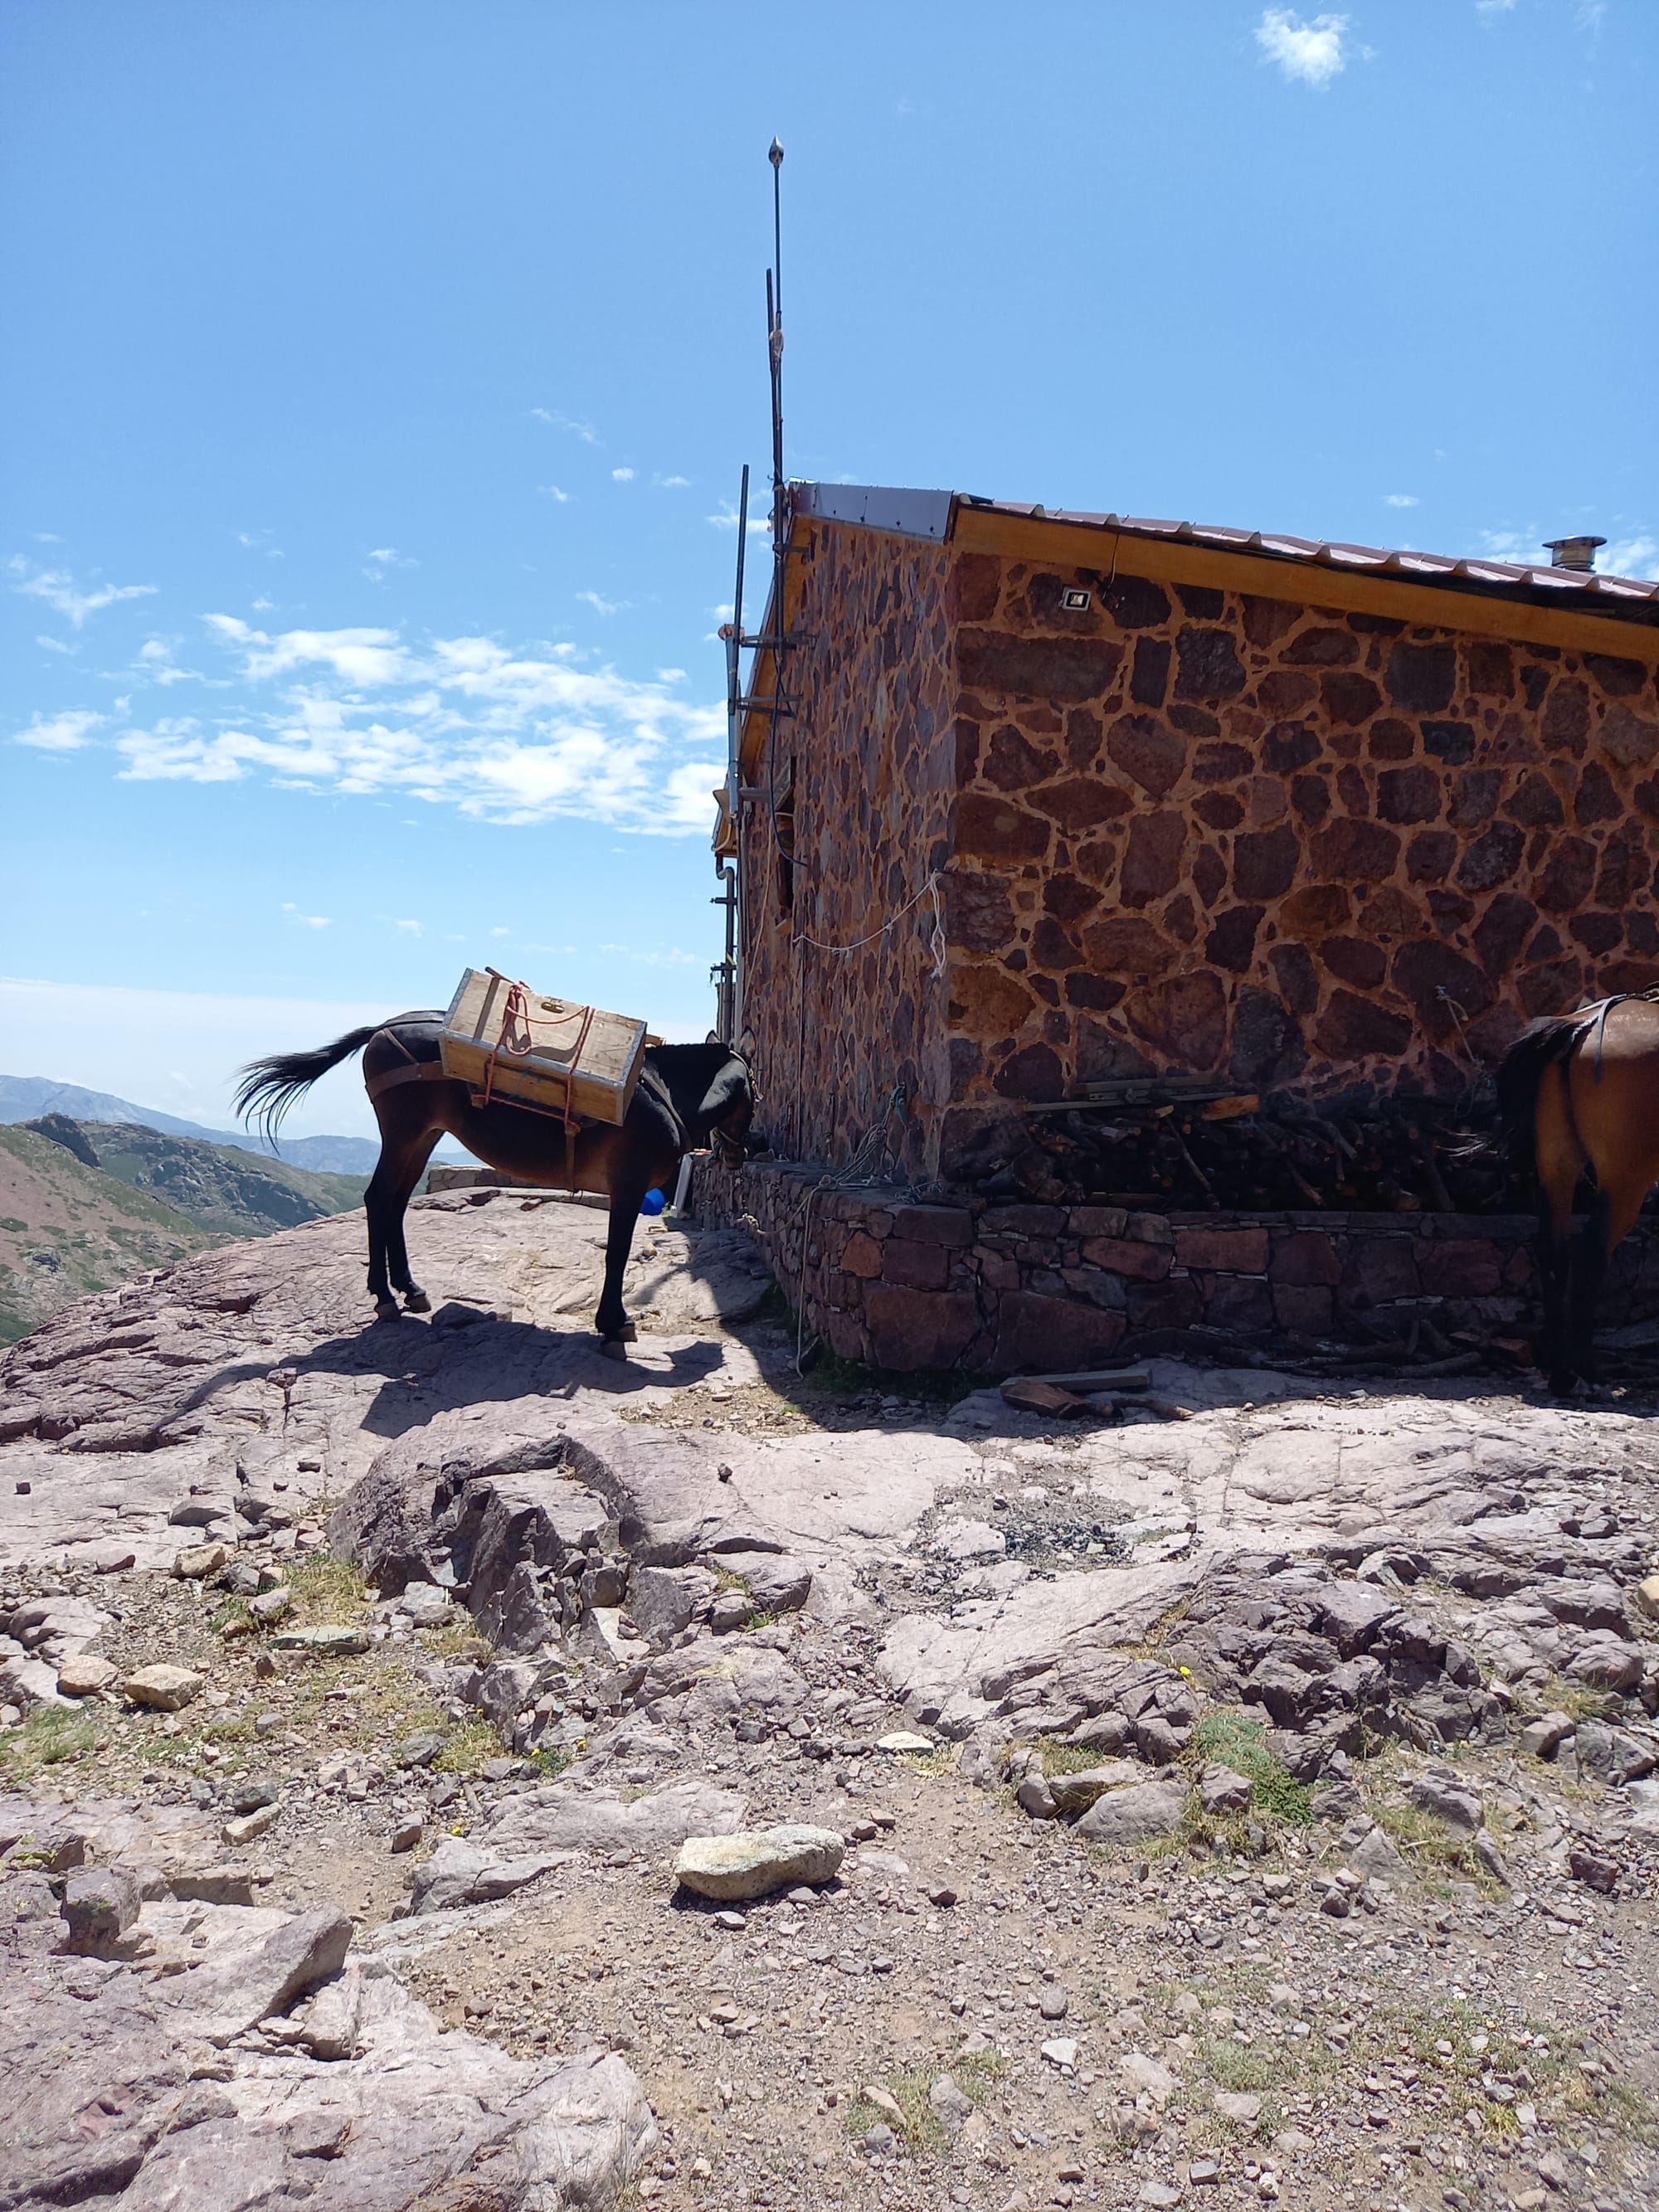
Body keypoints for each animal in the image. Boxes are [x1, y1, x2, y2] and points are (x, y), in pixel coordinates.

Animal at [231, 1009, 757, 1344]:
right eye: (756, 1088)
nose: (751, 1150)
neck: (664, 1094)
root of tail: (383, 1028)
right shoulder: (627, 1187)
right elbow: (618, 1255)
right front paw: (613, 1323)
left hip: (422, 1137)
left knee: (395, 1201)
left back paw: (410, 1290)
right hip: (403, 1132)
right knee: (380, 1198)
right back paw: (384, 1297)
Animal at [1504, 995, 1659, 1388]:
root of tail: (1580, 1027)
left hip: (1557, 1164)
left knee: (1553, 1251)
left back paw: (1562, 1373)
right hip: (1625, 1179)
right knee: (1591, 1252)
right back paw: (1587, 1368)